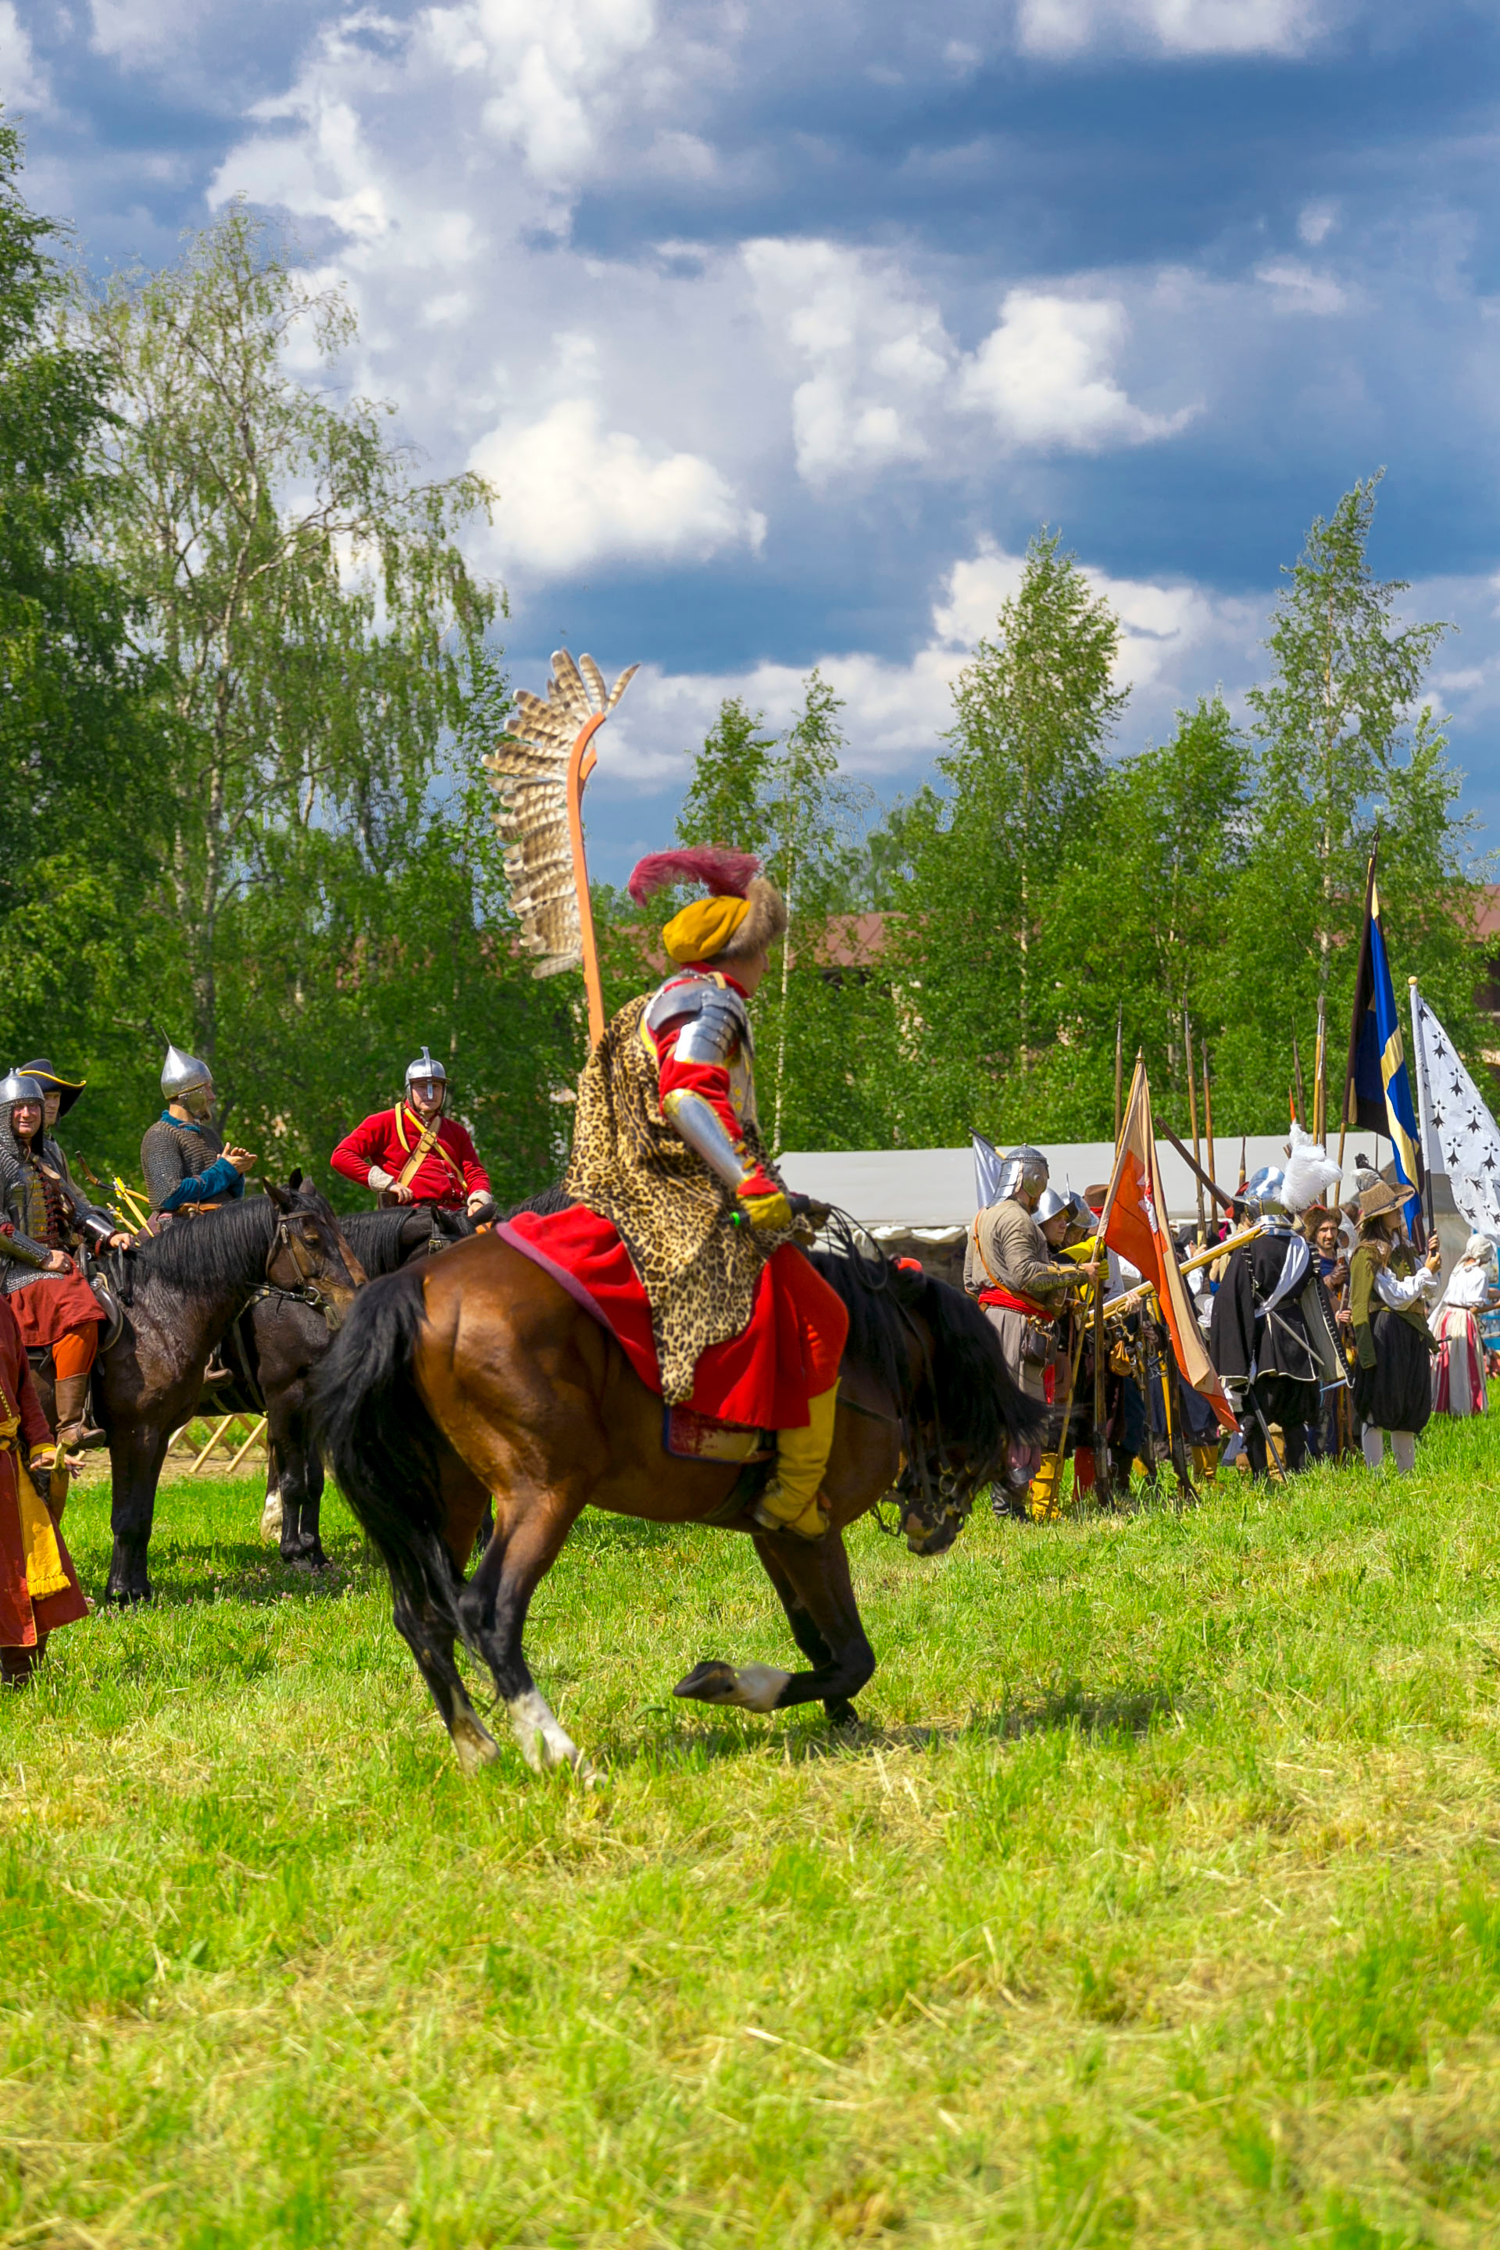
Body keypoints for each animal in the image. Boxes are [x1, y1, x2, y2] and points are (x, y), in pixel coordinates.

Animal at [317, 1233, 1043, 1773]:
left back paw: (476, 1748)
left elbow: (819, 1640)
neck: (862, 1349)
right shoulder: (812, 1529)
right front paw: (745, 1688)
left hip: (453, 1496)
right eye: (976, 1395)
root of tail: (415, 1283)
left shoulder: (774, 1534)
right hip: (543, 1492)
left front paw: (840, 1720)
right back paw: (558, 1752)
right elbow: (853, 1654)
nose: (940, 1525)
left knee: (421, 1616)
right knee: (487, 1613)